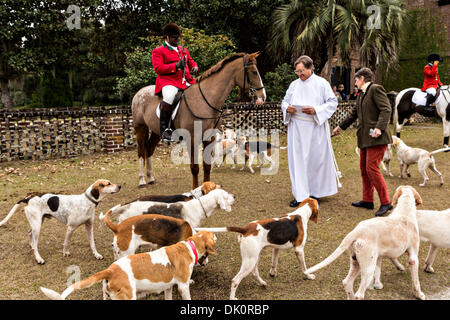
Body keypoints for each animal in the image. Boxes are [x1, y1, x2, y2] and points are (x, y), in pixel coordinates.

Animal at [40, 230, 218, 300]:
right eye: (212, 235)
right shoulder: (182, 287)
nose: (216, 234)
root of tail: (110, 270)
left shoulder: (168, 287)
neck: (190, 246)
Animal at [130, 52, 266, 188]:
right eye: (254, 72)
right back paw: (142, 181)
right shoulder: (192, 139)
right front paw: (195, 190)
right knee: (141, 152)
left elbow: (207, 166)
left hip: (156, 131)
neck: (205, 100)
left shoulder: (209, 138)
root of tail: (139, 92)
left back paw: (151, 178)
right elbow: (194, 168)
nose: (262, 98)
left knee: (149, 149)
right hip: (140, 128)